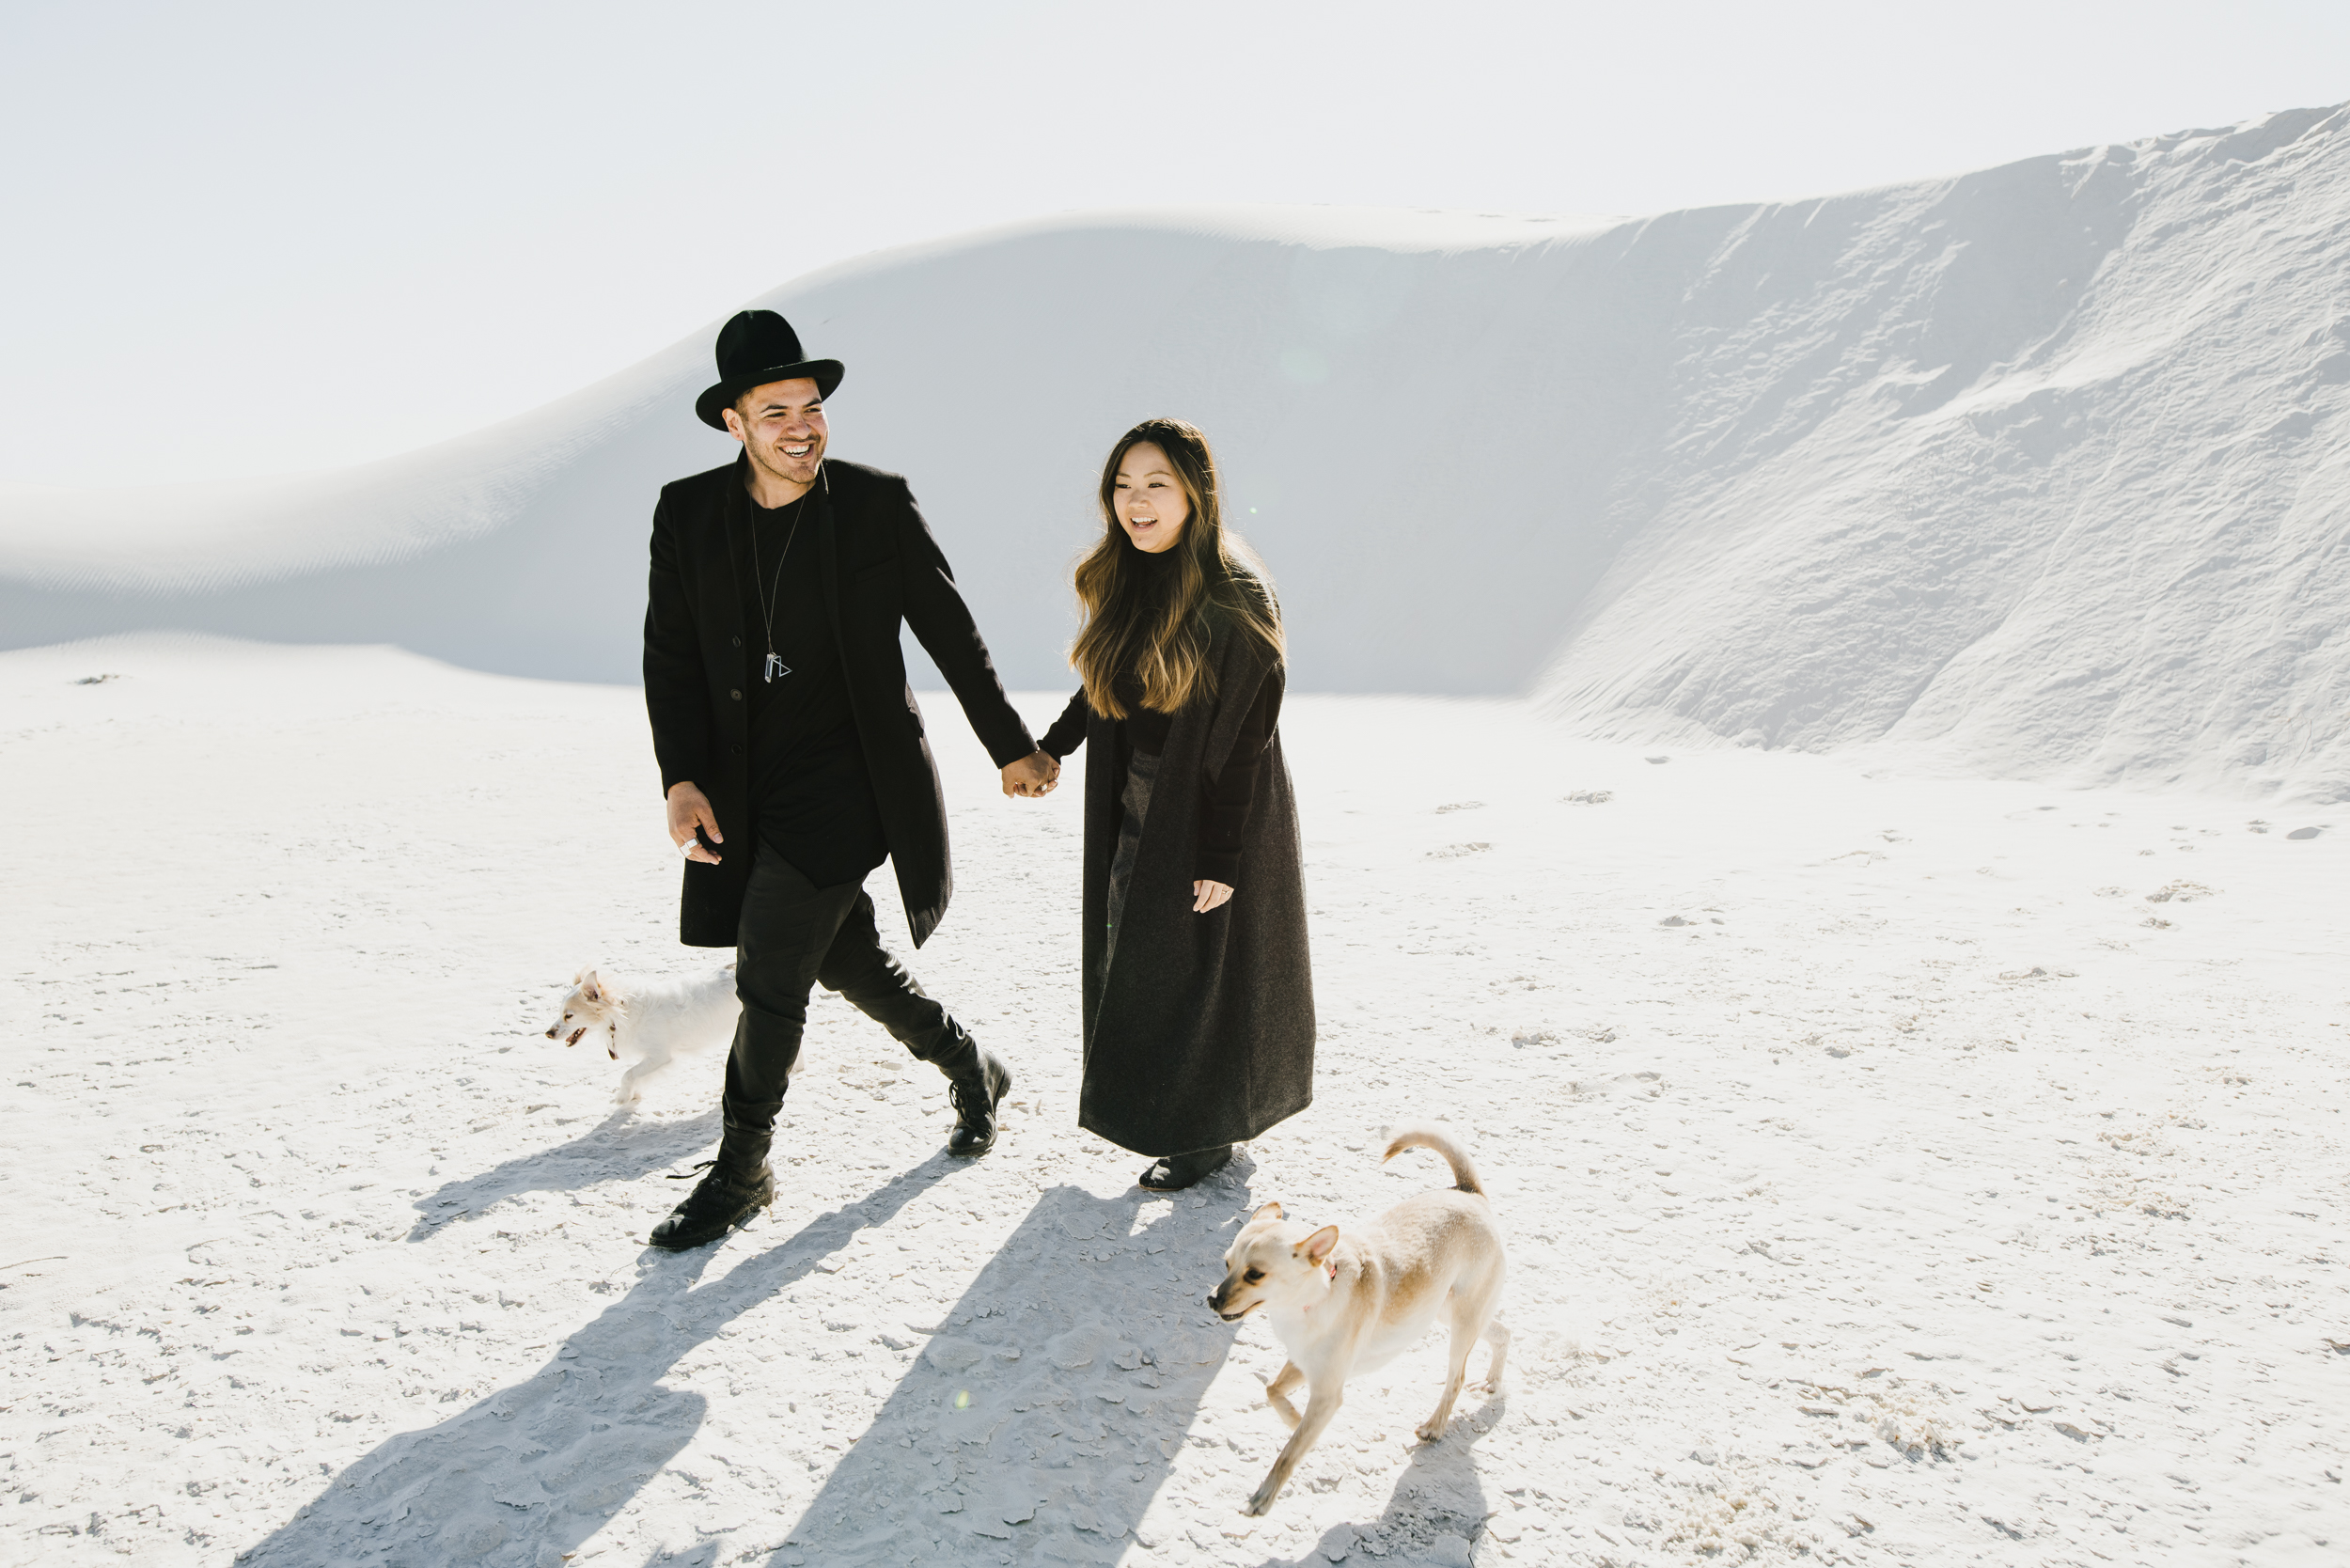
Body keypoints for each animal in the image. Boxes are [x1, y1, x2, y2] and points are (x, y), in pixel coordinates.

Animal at [542, 964, 743, 1109]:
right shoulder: (651, 1059)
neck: (621, 1015)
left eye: (569, 1016)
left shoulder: (660, 1056)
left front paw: (622, 1096)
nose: (548, 1034)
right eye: (560, 1013)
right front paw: (633, 1094)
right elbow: (637, 1074)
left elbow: (628, 1074)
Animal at [1203, 1128, 1513, 1523]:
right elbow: (1273, 1390)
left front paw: (1263, 1497)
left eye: (1255, 1274)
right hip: (1451, 1314)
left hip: (1461, 1324)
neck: (1313, 1299)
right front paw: (1292, 1418)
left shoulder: (1327, 1393)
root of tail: (1469, 1193)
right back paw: (1492, 1381)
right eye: (1227, 1263)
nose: (1212, 1299)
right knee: (1503, 1332)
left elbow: (1289, 1454)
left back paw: (1435, 1426)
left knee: (1456, 1378)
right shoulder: (1303, 1364)